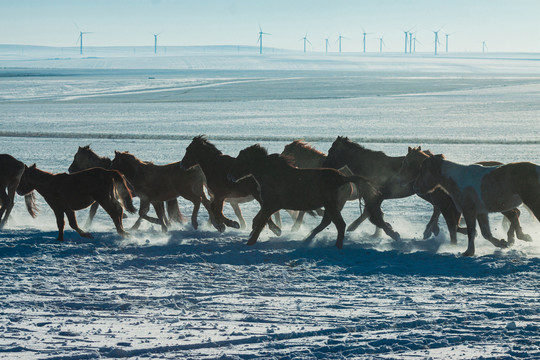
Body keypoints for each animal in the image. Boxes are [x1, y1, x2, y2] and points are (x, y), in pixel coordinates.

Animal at [229, 145, 400, 249]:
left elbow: (260, 221)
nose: (230, 176)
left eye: (240, 160)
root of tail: (342, 178)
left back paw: (336, 244)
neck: (271, 174)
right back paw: (308, 239)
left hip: (331, 205)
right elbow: (259, 220)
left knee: (340, 224)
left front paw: (251, 240)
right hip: (332, 206)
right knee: (328, 222)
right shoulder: (270, 206)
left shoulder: (270, 205)